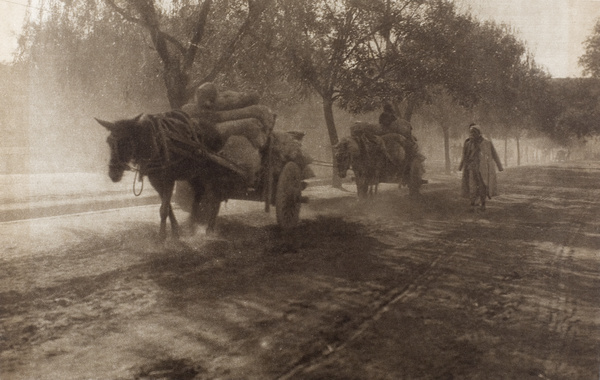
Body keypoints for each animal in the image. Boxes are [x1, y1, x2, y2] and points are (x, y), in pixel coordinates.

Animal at [96, 110, 223, 240]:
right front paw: (176, 231)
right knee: (199, 192)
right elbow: (167, 207)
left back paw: (210, 229)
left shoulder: (169, 179)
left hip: (209, 172)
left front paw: (161, 237)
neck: (154, 144)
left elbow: (164, 209)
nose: (113, 174)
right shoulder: (155, 180)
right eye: (109, 141)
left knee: (215, 196)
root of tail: (216, 131)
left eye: (125, 142)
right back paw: (191, 226)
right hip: (193, 174)